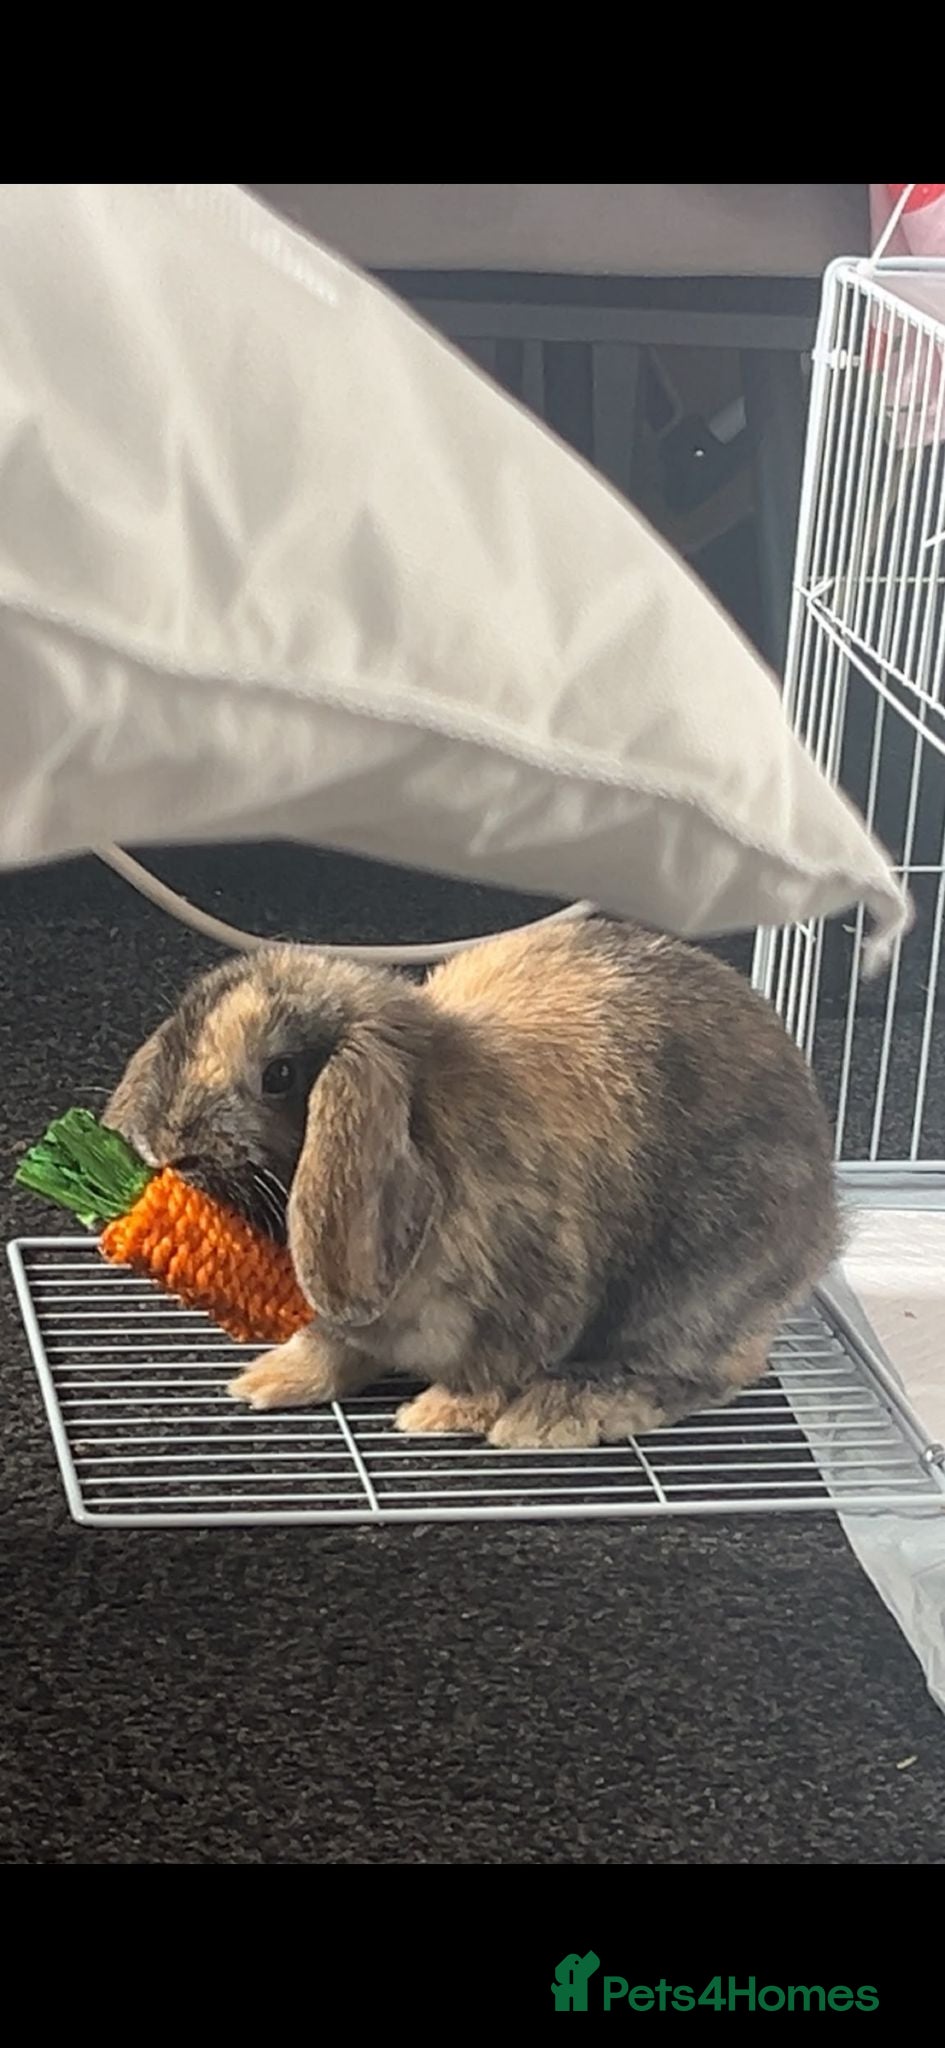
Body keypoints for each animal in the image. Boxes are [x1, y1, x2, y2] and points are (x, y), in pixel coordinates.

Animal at [103, 916, 841, 1448]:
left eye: (278, 1075)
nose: (166, 1144)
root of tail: (825, 1227)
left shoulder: (526, 1293)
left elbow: (485, 1373)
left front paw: (434, 1416)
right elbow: (336, 1346)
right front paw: (271, 1380)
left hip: (692, 1289)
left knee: (698, 1375)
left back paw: (554, 1416)